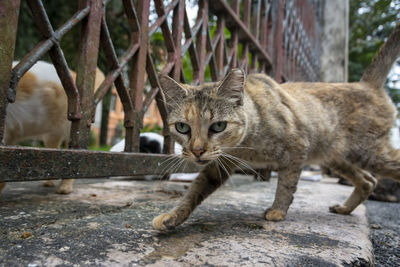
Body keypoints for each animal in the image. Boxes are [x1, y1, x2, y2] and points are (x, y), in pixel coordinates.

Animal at [152, 23, 400, 232]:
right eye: (182, 127)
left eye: (218, 126)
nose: (197, 151)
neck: (247, 144)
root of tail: (366, 84)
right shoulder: (219, 165)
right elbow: (194, 191)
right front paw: (172, 216)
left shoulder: (297, 149)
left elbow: (286, 185)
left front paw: (278, 211)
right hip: (339, 158)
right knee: (368, 181)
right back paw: (345, 208)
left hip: (369, 154)